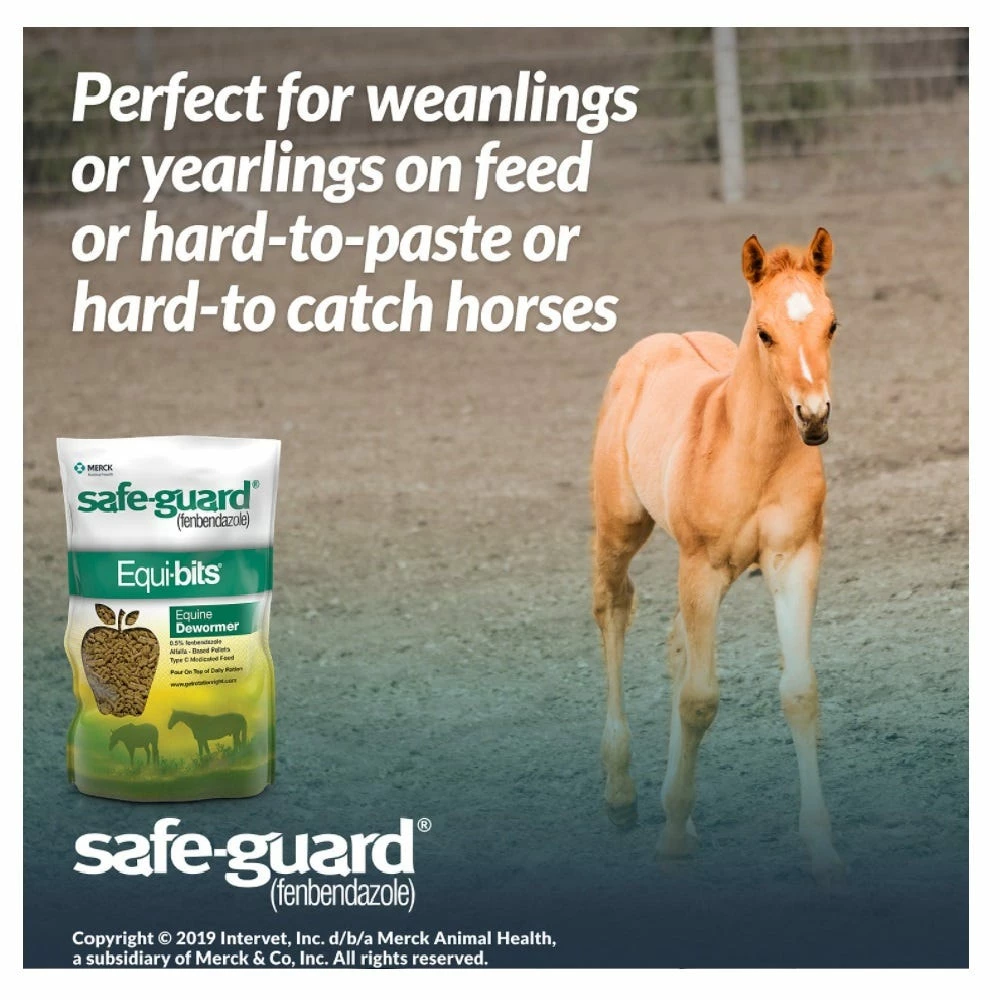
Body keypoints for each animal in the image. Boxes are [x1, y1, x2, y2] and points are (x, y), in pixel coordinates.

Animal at [590, 227, 843, 885]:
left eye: (832, 324)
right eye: (765, 332)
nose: (814, 417)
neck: (751, 451)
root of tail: (657, 342)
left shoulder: (794, 558)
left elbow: (799, 692)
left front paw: (822, 849)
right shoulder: (701, 567)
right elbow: (700, 700)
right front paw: (674, 841)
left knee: (676, 645)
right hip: (620, 528)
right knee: (613, 609)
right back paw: (622, 796)